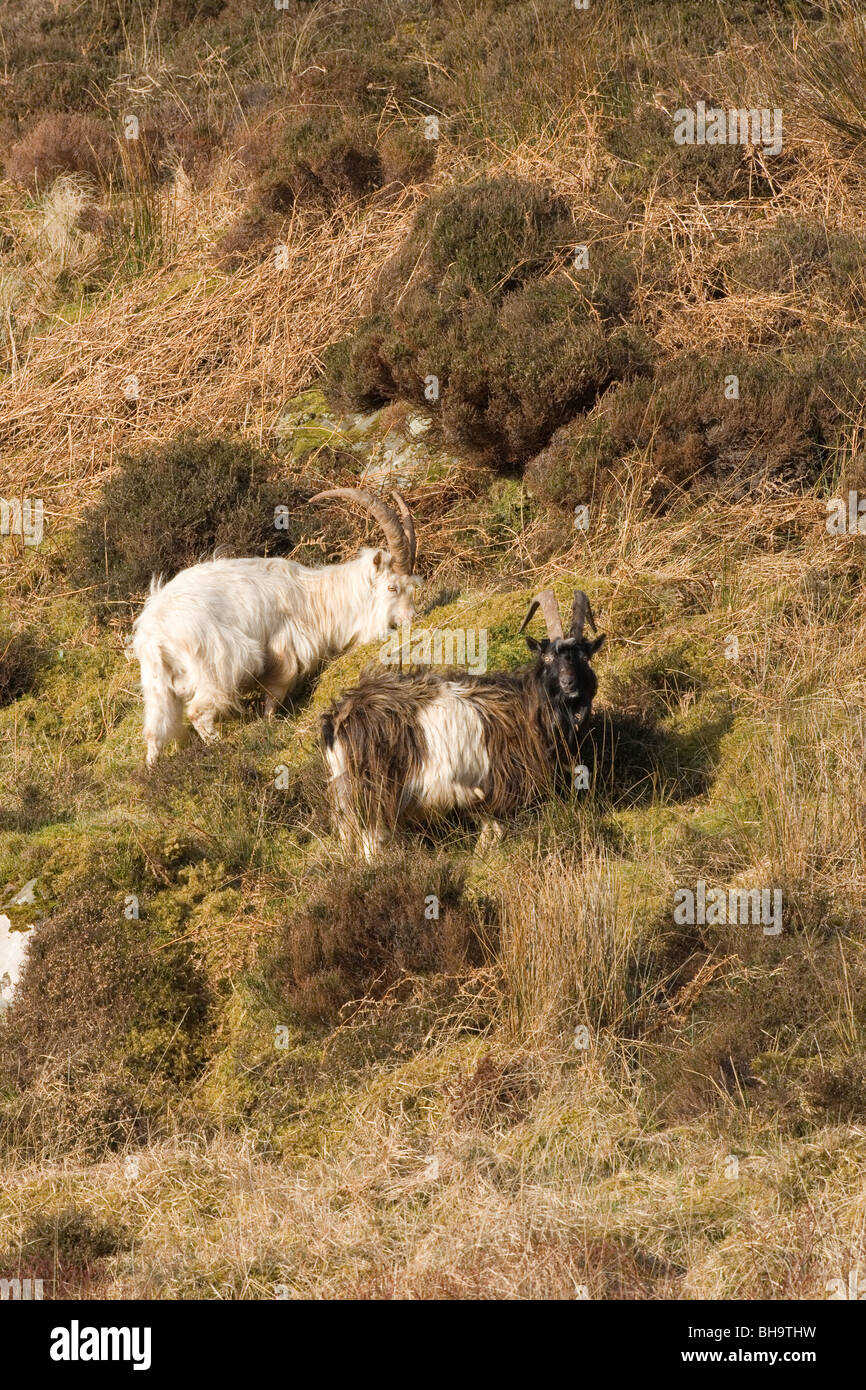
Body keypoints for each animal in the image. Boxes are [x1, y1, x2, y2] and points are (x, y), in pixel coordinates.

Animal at [132, 489, 419, 767]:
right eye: (392, 587)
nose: (411, 619)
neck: (315, 598)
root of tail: (157, 633)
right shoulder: (285, 650)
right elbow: (277, 689)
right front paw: (270, 722)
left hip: (157, 685)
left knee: (155, 732)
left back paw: (153, 769)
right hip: (221, 663)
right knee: (198, 712)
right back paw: (220, 749)